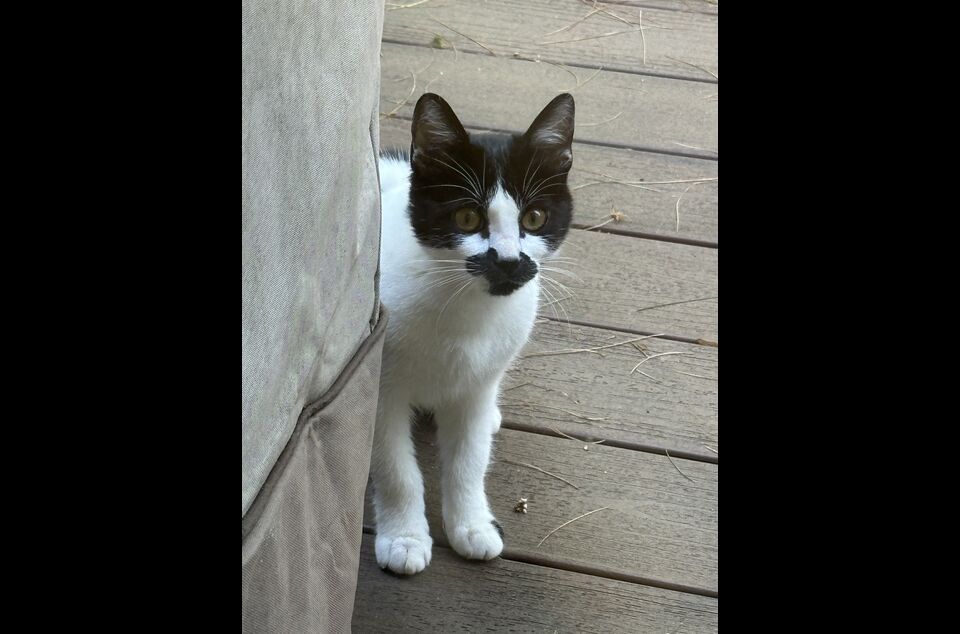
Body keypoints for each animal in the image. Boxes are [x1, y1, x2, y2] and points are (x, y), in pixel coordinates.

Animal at [372, 92, 575, 575]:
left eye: (534, 218)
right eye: (467, 217)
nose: (508, 261)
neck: (465, 310)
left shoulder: (477, 385)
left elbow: (469, 460)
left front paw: (472, 525)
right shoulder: (382, 388)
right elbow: (395, 468)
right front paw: (404, 537)